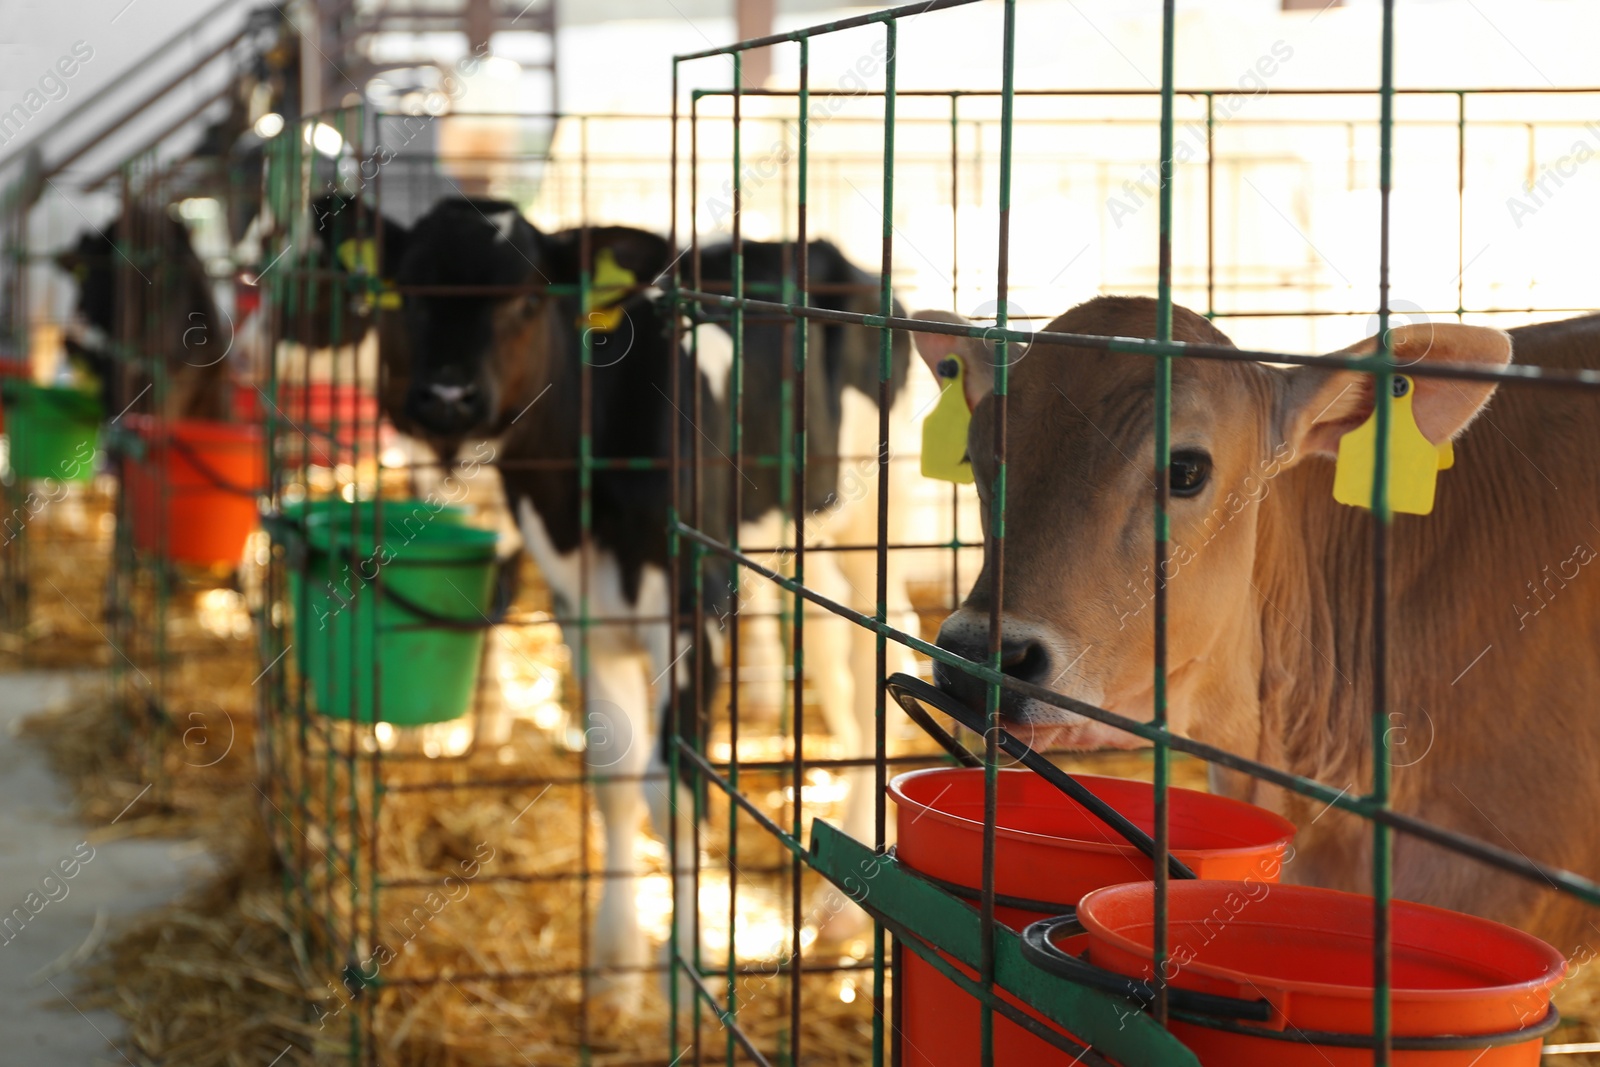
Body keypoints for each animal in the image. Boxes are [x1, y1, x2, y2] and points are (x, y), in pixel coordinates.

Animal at [336, 198, 915, 1011]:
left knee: (882, 656)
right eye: (411, 294)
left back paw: (840, 911)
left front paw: (687, 970)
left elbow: (672, 793)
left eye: (527, 298)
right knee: (835, 649)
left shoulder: (693, 611)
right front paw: (616, 959)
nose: (446, 398)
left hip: (882, 513)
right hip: (804, 533)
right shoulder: (581, 613)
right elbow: (614, 779)